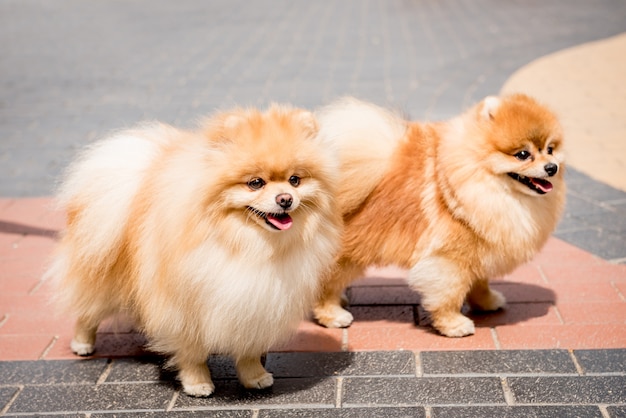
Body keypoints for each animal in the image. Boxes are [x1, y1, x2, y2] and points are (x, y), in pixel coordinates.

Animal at [47, 103, 342, 396]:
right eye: (255, 183)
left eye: (295, 180)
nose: (285, 199)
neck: (248, 244)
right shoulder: (185, 304)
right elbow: (192, 352)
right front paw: (197, 382)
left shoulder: (254, 302)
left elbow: (248, 347)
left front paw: (254, 376)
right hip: (103, 275)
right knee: (87, 309)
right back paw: (82, 343)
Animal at [314, 94, 564, 336]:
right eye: (523, 154)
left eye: (550, 149)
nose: (552, 167)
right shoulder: (449, 259)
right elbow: (448, 295)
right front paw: (453, 324)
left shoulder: (479, 250)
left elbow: (479, 282)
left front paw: (487, 301)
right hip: (346, 255)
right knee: (325, 283)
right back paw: (332, 315)